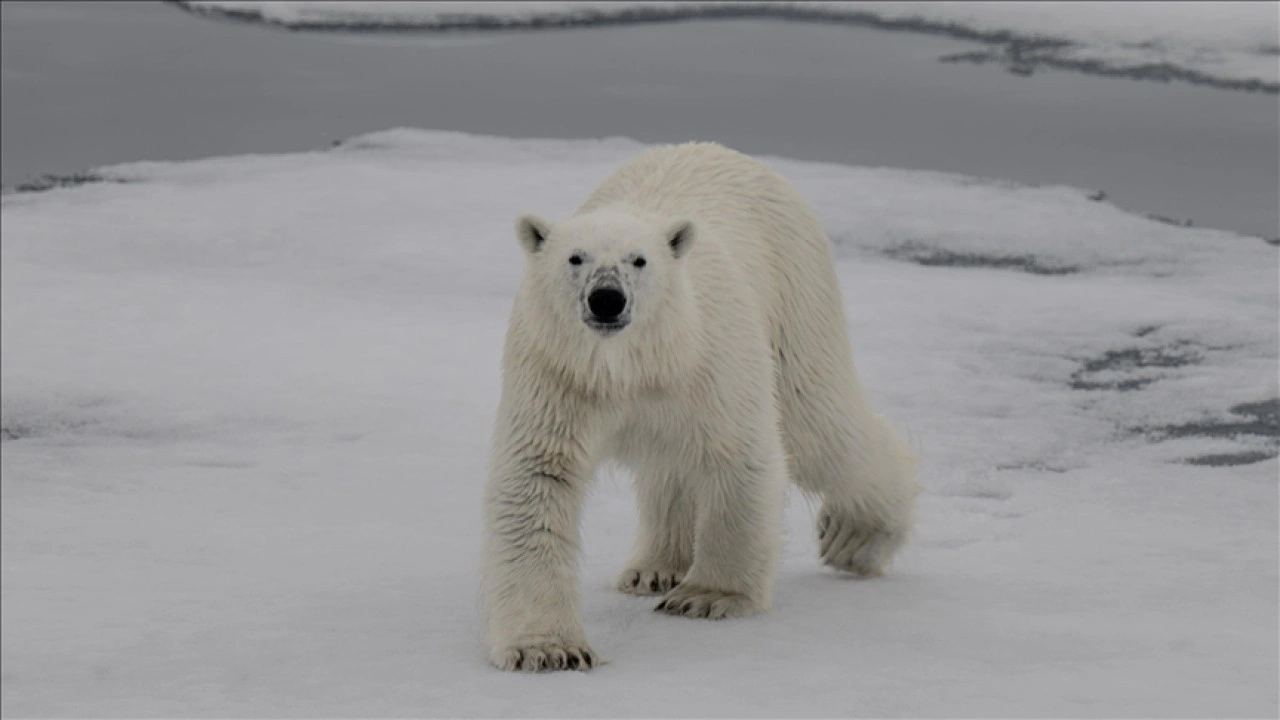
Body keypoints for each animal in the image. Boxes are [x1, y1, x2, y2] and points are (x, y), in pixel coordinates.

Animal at [481, 142, 921, 671]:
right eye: (575, 258)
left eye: (639, 260)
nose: (607, 299)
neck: (632, 365)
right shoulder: (560, 375)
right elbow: (538, 480)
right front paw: (548, 648)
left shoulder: (708, 363)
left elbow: (739, 456)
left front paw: (708, 596)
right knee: (671, 464)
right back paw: (653, 568)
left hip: (796, 290)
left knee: (819, 423)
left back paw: (855, 538)